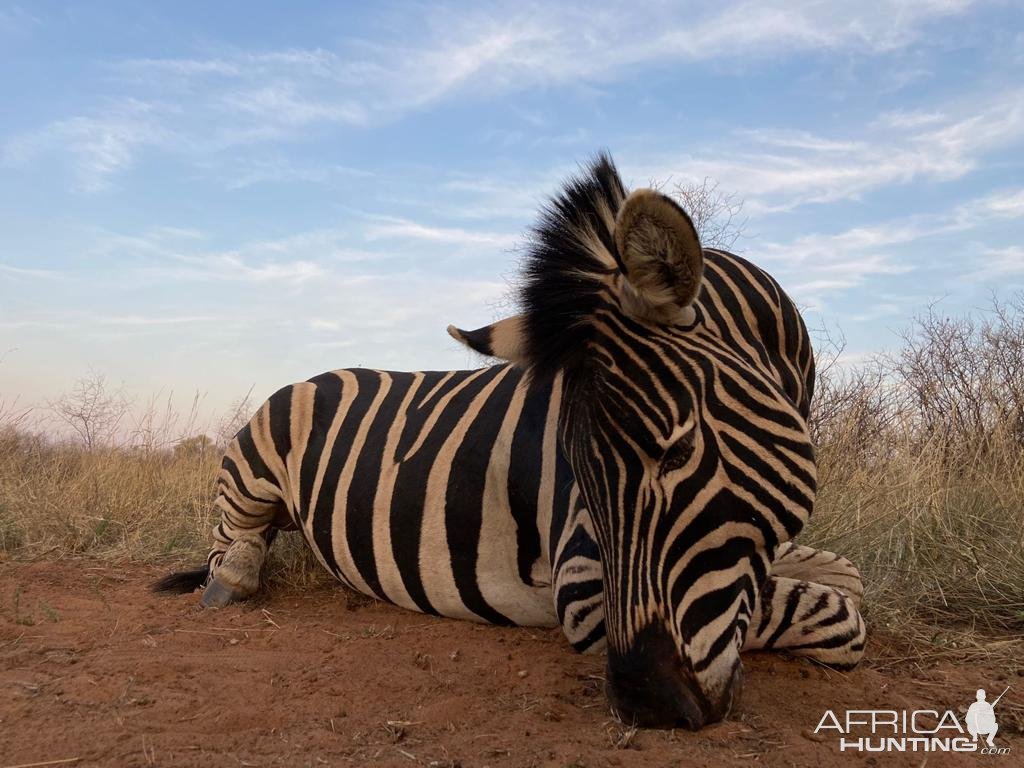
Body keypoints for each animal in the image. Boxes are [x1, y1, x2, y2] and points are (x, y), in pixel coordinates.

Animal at [157, 154, 864, 729]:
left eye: (679, 453)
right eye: (578, 471)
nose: (649, 707)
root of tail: (317, 374)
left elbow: (842, 576)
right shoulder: (583, 582)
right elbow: (839, 618)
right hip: (253, 462)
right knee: (229, 547)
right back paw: (230, 580)